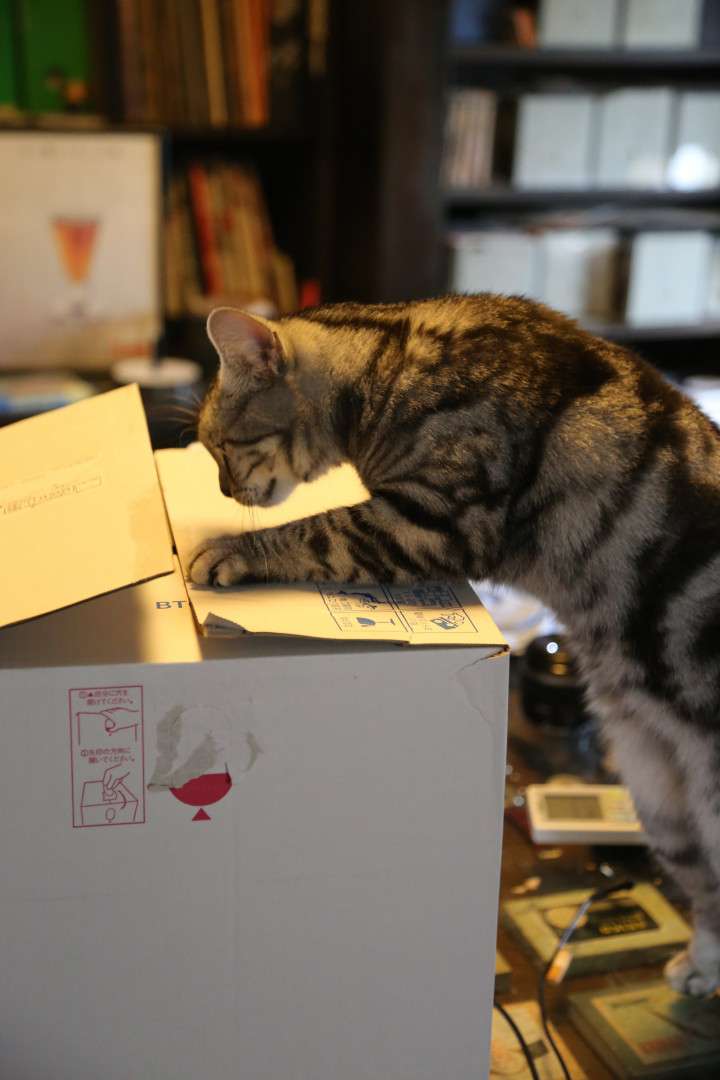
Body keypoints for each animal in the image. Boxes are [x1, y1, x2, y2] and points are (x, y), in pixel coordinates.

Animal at [190, 295, 720, 997]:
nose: (223, 492)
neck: (391, 359)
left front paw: (229, 549)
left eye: (221, 449)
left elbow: (313, 531)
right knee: (709, 893)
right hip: (661, 802)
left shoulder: (431, 522)